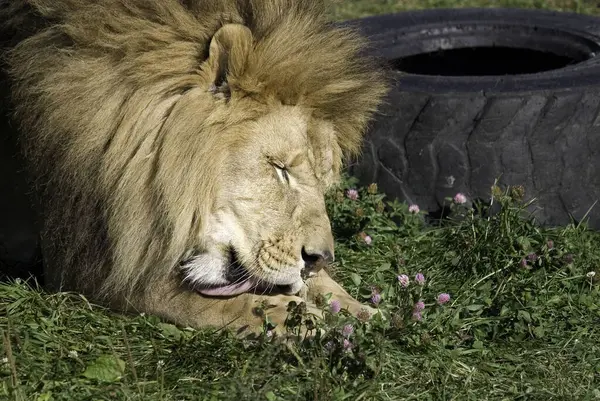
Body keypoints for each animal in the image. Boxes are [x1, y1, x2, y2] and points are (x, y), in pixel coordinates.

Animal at [2, 0, 386, 336]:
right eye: (281, 169)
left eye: (323, 183)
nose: (319, 259)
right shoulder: (83, 257)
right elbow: (191, 299)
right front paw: (290, 315)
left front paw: (356, 308)